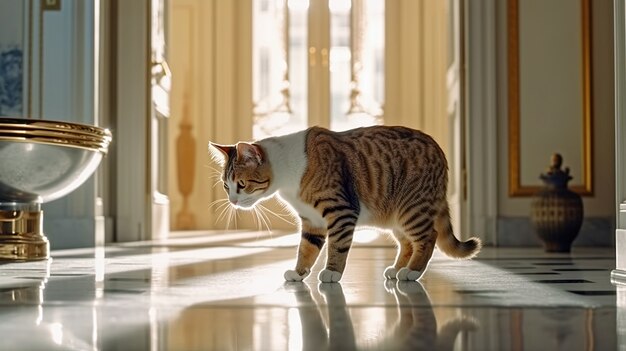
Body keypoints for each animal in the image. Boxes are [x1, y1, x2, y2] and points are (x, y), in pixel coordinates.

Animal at [207, 126, 480, 284]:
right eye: (226, 186)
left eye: (242, 184)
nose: (232, 200)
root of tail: (441, 153)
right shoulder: (312, 220)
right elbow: (306, 249)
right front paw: (299, 272)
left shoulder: (341, 211)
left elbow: (337, 246)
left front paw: (332, 272)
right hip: (396, 215)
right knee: (407, 242)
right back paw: (397, 268)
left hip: (411, 207)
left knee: (427, 236)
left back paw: (412, 271)